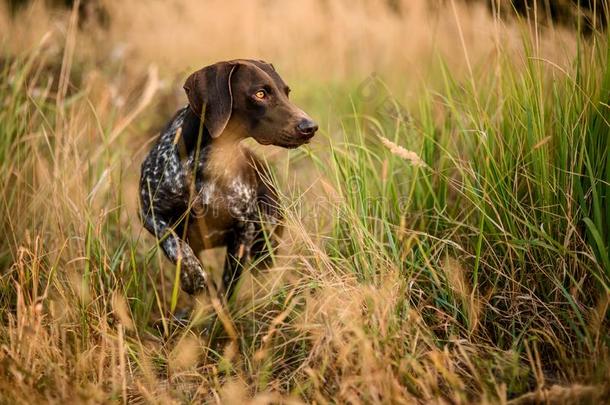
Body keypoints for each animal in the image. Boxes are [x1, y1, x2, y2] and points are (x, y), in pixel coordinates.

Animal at [138, 59, 318, 296]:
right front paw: (191, 275)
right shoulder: (150, 212)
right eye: (260, 94)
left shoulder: (243, 231)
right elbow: (173, 242)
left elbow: (228, 284)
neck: (206, 162)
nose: (310, 127)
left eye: (286, 92)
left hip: (266, 246)